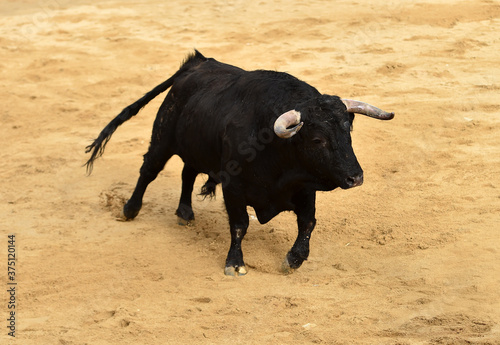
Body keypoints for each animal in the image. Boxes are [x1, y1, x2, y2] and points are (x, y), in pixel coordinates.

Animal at [87, 49, 394, 276]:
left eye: (348, 130)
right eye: (317, 140)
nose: (355, 177)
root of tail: (197, 64)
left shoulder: (305, 187)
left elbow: (307, 222)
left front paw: (294, 259)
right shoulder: (233, 187)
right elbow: (239, 224)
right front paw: (235, 263)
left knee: (188, 172)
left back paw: (185, 212)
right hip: (162, 137)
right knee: (149, 170)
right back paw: (130, 209)